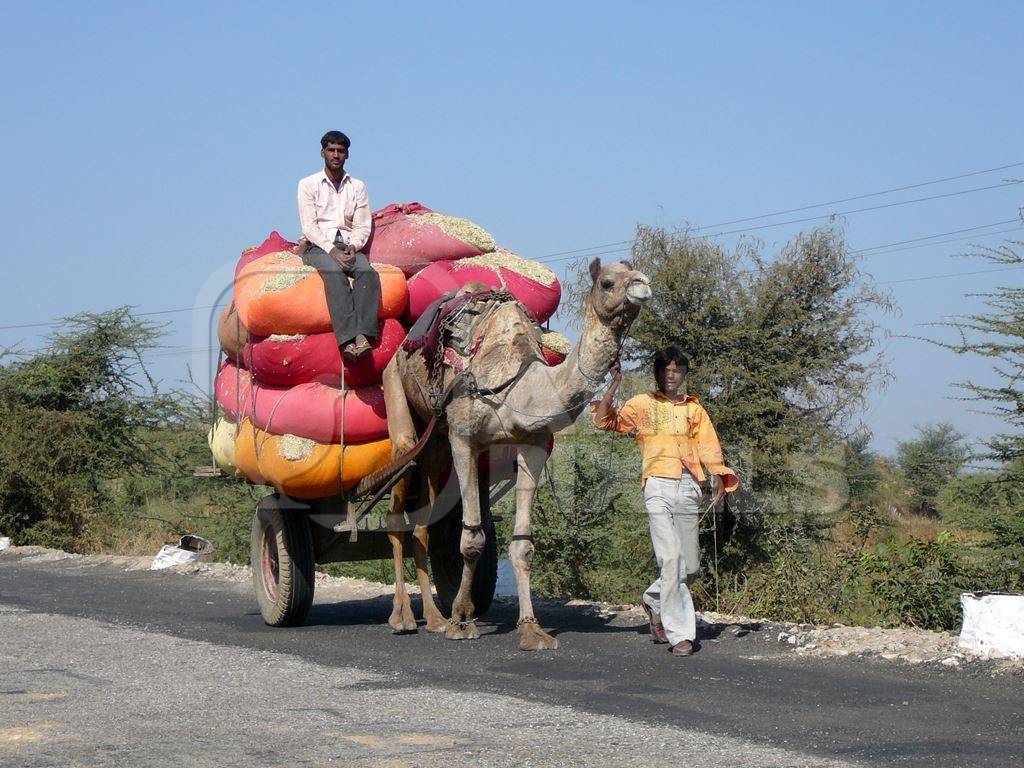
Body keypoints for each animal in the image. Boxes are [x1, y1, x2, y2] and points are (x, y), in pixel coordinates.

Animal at [380, 259, 651, 651]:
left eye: (638, 271)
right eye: (607, 281)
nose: (644, 285)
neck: (518, 384)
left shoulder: (532, 445)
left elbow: (523, 546)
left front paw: (531, 630)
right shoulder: (464, 438)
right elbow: (472, 539)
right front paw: (462, 622)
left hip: (436, 442)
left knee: (423, 523)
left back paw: (432, 618)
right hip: (397, 397)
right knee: (397, 511)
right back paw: (401, 617)